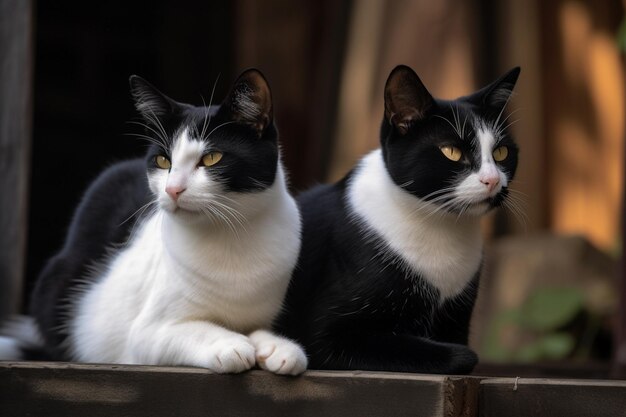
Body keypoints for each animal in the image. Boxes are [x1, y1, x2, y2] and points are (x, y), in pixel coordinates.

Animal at [12, 68, 310, 374]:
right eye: (163, 161)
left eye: (211, 158)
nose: (172, 189)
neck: (233, 234)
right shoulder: (147, 334)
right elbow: (195, 330)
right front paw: (231, 344)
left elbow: (257, 329)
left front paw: (279, 346)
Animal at [276, 64, 520, 374]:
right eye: (452, 152)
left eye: (501, 152)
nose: (493, 180)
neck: (440, 225)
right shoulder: (327, 336)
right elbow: (461, 355)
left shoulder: (456, 319)